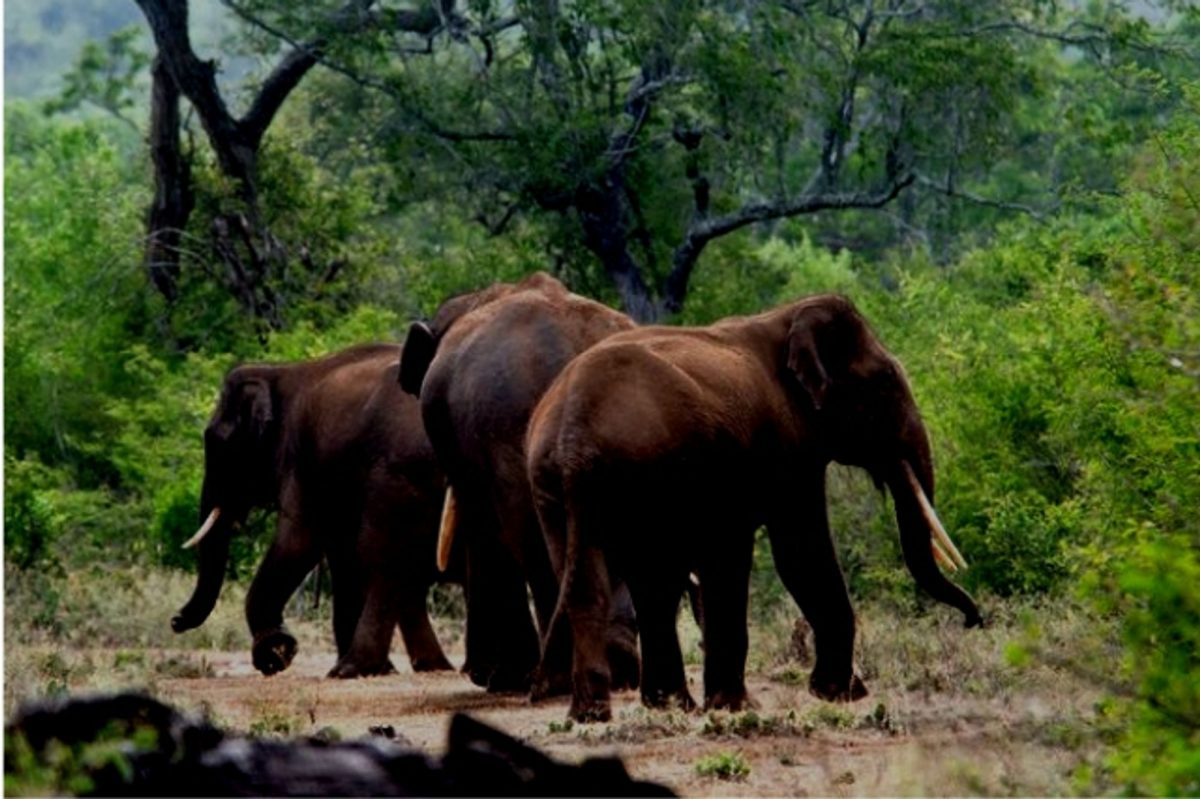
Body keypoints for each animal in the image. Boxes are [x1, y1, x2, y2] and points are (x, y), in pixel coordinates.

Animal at [164, 343, 453, 676]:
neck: (278, 370)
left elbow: (299, 541)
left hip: (405, 474)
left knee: (387, 556)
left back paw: (357, 668)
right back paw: (422, 666)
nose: (175, 621)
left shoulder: (301, 458)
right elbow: (340, 551)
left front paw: (275, 654)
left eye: (216, 441)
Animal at [398, 268, 643, 691]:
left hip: (509, 423)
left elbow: (482, 525)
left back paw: (551, 679)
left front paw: (500, 678)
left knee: (523, 531)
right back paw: (619, 668)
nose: (474, 671)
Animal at [530, 292, 979, 719]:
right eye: (885, 381)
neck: (787, 317)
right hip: (642, 473)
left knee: (614, 580)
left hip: (565, 489)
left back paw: (608, 711)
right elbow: (798, 552)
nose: (973, 622)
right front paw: (832, 695)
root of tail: (573, 434)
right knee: (649, 575)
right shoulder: (788, 449)